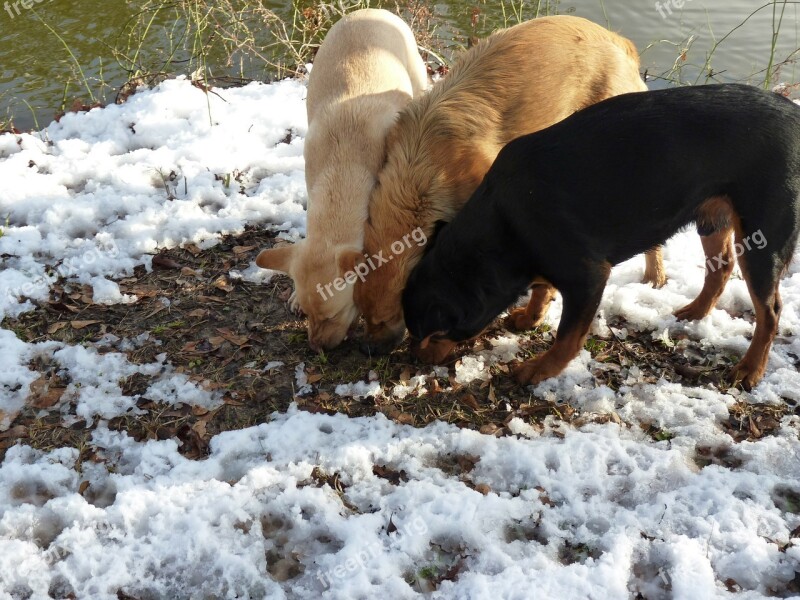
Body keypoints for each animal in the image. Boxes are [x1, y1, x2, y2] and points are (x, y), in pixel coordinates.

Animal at [256, 9, 432, 352]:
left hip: (418, 78)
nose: (316, 347)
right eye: (308, 314)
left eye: (332, 315)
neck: (342, 169)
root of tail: (371, 11)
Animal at [354, 16, 664, 354]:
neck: (422, 171)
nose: (367, 349)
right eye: (363, 316)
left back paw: (655, 278)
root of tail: (620, 42)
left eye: (387, 317)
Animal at [404, 85, 800, 394]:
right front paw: (530, 317)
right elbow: (541, 289)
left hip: (764, 239)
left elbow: (567, 337)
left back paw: (750, 369)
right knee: (721, 268)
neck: (504, 223)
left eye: (431, 333)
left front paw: (538, 370)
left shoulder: (588, 276)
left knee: (770, 313)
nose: (414, 358)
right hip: (712, 219)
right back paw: (696, 312)